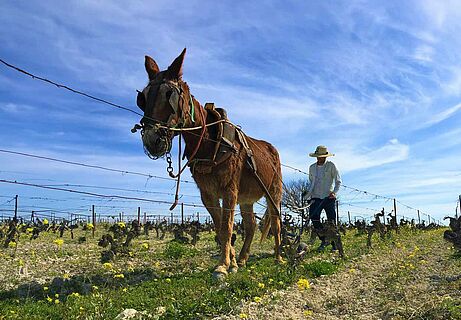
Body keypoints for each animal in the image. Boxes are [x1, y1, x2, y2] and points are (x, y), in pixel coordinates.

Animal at [135, 48, 282, 278]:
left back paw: (278, 257)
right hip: (247, 197)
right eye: (143, 97)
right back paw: (243, 257)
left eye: (170, 95)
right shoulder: (208, 193)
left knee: (275, 222)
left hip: (273, 191)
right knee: (250, 225)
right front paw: (231, 262)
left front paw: (223, 265)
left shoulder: (229, 190)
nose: (152, 139)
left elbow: (227, 226)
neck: (210, 142)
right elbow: (220, 228)